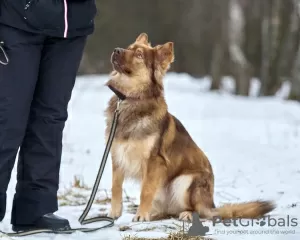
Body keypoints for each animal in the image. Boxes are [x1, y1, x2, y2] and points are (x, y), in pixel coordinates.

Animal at [104, 32, 276, 222]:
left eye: (139, 55)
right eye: (129, 47)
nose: (116, 50)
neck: (129, 99)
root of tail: (211, 205)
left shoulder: (155, 161)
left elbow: (146, 191)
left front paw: (141, 216)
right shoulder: (117, 156)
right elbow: (116, 188)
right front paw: (114, 214)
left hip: (185, 181)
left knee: (200, 212)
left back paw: (185, 214)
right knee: (169, 211)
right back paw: (155, 213)